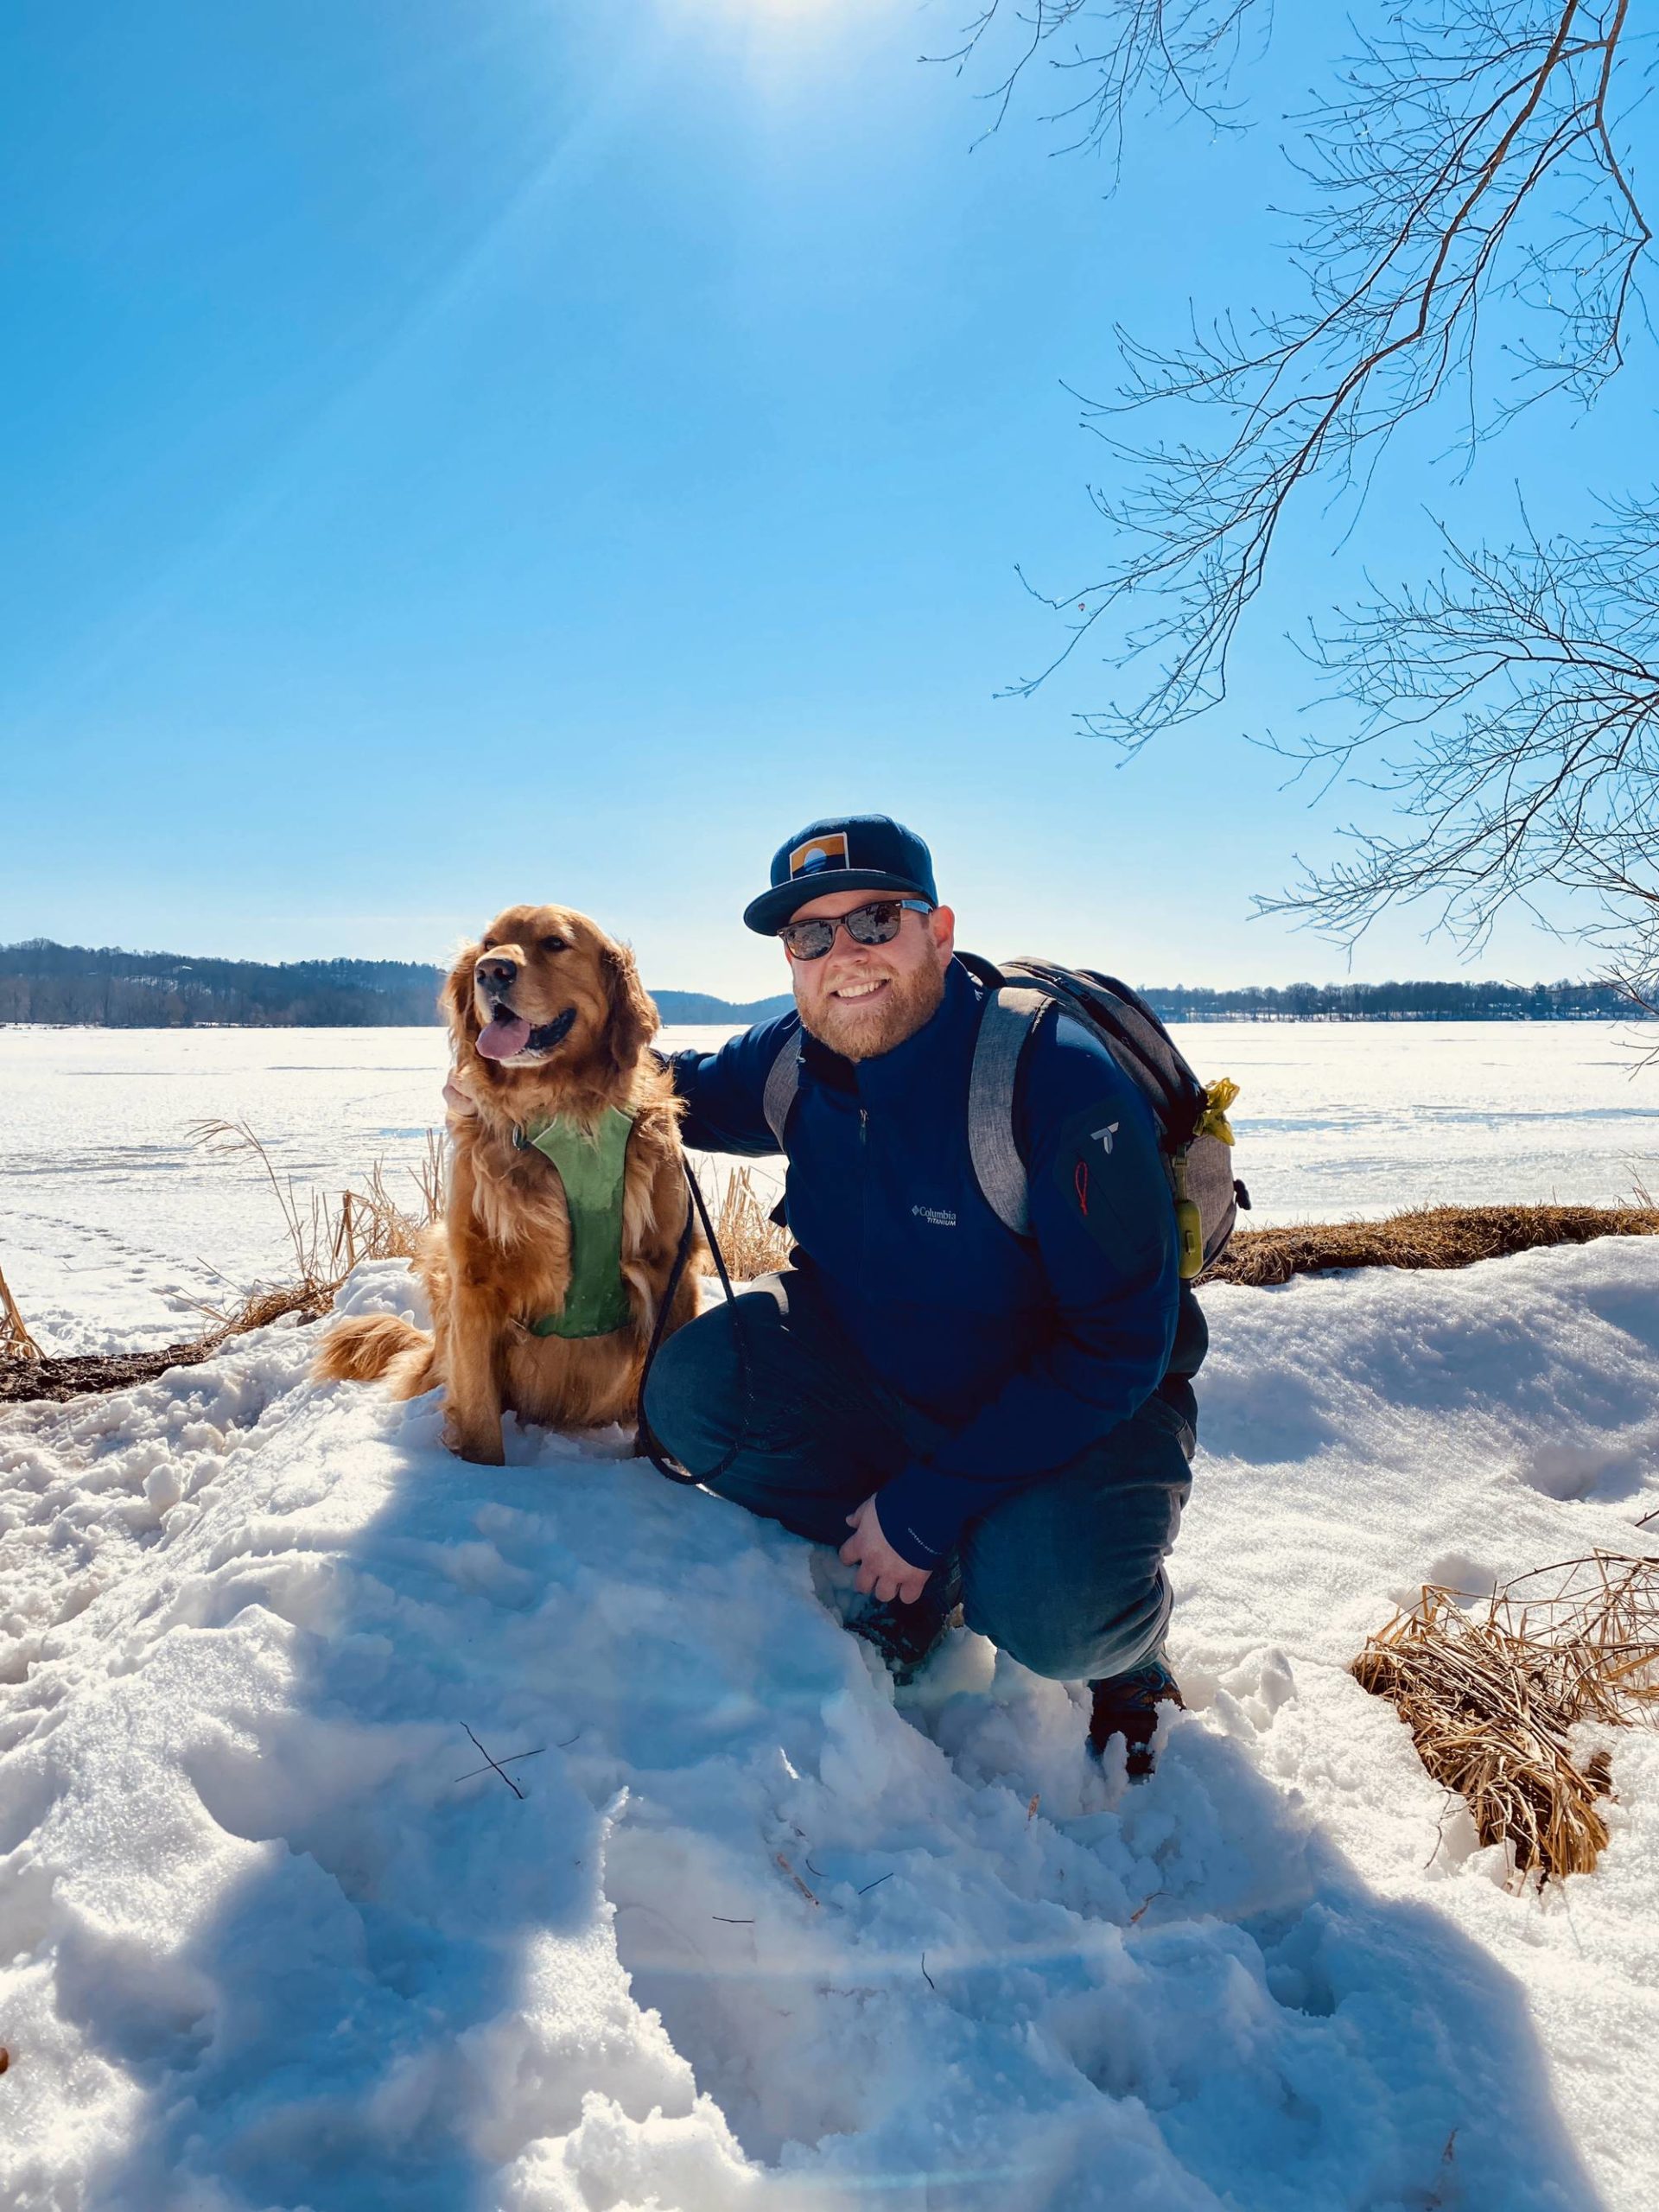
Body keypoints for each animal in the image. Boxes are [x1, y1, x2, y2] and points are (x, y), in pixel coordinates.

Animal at [318, 898, 703, 1451]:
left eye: (555, 943)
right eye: (487, 944)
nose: (491, 971)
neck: (560, 1111)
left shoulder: (669, 1265)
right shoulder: (474, 1278)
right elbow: (479, 1418)